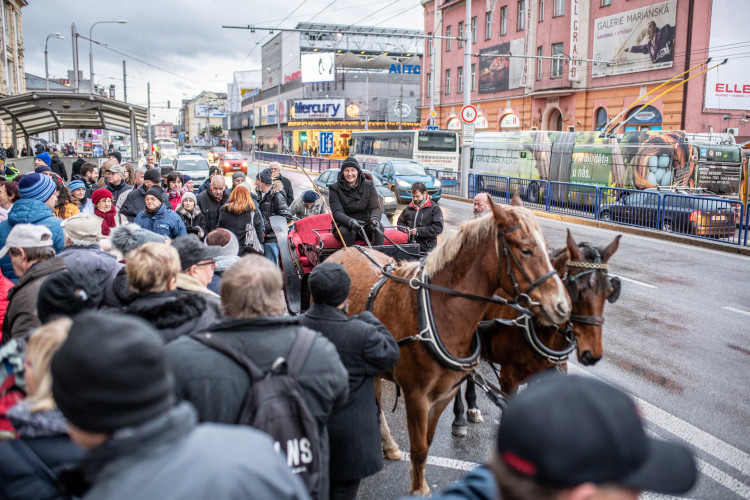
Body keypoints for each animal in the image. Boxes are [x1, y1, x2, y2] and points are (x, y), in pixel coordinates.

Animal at [328, 195, 568, 496]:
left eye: (549, 250)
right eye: (525, 250)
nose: (561, 306)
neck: (435, 312)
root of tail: (343, 251)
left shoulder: (442, 395)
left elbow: (427, 445)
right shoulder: (416, 396)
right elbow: (418, 448)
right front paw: (418, 491)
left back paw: (388, 443)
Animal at [452, 230, 624, 434]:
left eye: (610, 291)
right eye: (577, 289)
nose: (592, 353)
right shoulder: (509, 379)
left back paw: (472, 406)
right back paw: (459, 417)